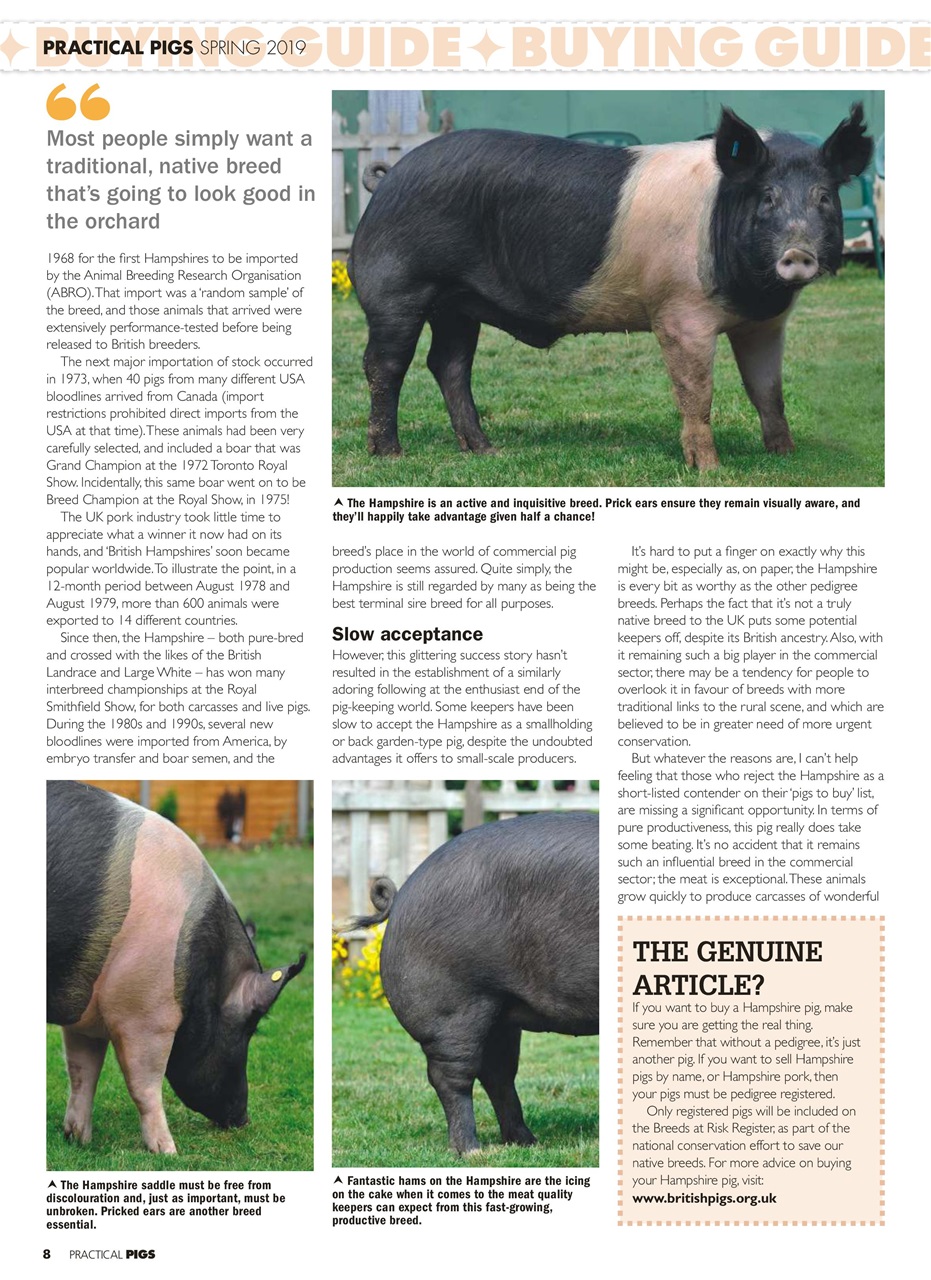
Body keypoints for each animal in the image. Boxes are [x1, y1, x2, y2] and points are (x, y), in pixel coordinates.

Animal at [47, 781, 306, 1154]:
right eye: (250, 1029)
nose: (244, 1118)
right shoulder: (145, 1014)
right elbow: (144, 1083)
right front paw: (168, 1151)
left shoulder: (87, 1015)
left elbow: (82, 1072)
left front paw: (78, 1139)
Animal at [349, 105, 872, 471]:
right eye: (767, 198)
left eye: (824, 197)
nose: (798, 252)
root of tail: (386, 180)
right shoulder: (678, 313)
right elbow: (696, 392)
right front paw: (709, 469)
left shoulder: (764, 324)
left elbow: (767, 390)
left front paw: (785, 455)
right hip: (397, 289)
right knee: (385, 365)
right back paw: (390, 455)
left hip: (458, 305)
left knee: (449, 364)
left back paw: (485, 451)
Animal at [353, 812, 598, 1153]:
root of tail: (401, 894)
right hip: (455, 1003)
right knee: (452, 1074)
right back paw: (472, 1150)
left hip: (502, 1009)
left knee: (498, 1072)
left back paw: (527, 1143)